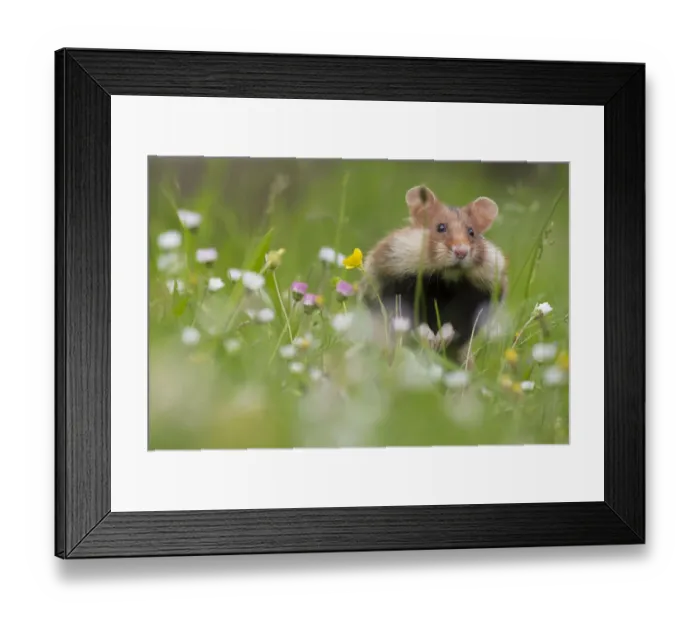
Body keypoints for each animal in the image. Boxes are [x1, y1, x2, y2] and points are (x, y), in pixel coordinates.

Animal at [360, 185, 507, 365]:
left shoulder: (478, 298)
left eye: (471, 232)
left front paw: (440, 341)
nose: (461, 252)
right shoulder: (396, 286)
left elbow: (459, 323)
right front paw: (431, 340)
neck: (445, 277)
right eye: (441, 227)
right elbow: (410, 317)